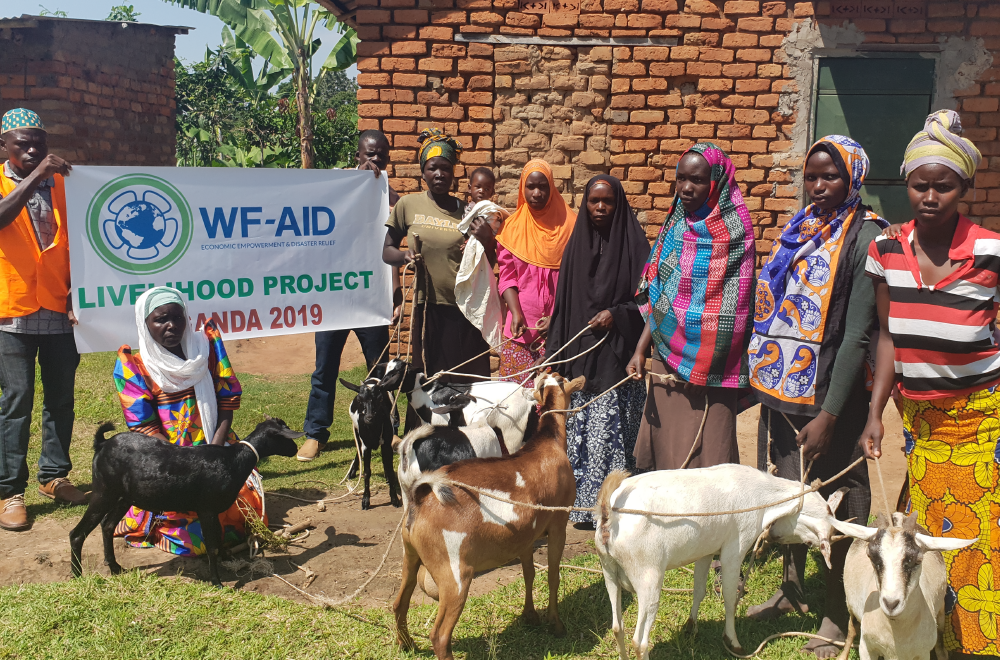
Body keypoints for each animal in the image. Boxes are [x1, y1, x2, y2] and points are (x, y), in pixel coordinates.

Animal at [388, 372, 584, 660]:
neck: (548, 443)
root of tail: (420, 499)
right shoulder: (559, 523)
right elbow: (553, 575)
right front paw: (556, 626)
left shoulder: (525, 537)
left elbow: (529, 573)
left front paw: (530, 616)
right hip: (455, 575)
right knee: (440, 634)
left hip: (410, 556)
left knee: (399, 603)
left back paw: (407, 645)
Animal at [592, 464, 852, 660]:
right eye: (812, 540)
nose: (773, 536)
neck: (762, 496)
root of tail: (609, 514)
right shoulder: (734, 549)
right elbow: (729, 597)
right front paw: (733, 641)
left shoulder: (706, 551)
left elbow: (699, 590)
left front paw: (691, 627)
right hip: (648, 575)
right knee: (640, 640)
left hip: (609, 570)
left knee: (617, 627)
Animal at [832, 512, 972, 660]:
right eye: (872, 557)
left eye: (918, 560)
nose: (891, 604)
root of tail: (897, 516)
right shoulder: (866, 649)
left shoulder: (922, 653)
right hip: (851, 607)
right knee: (852, 629)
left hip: (940, 612)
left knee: (940, 644)